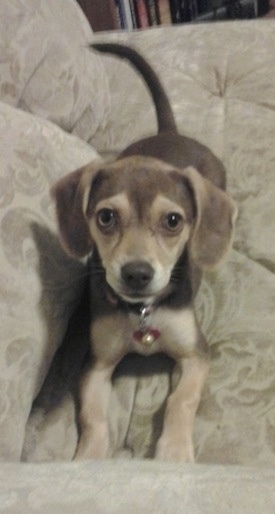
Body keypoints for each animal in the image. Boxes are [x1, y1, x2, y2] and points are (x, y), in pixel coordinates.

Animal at [51, 45, 237, 460]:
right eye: (106, 217)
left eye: (173, 221)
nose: (136, 274)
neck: (142, 312)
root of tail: (171, 133)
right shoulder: (96, 363)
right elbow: (92, 416)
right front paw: (87, 456)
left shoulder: (195, 354)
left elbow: (181, 400)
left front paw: (174, 450)